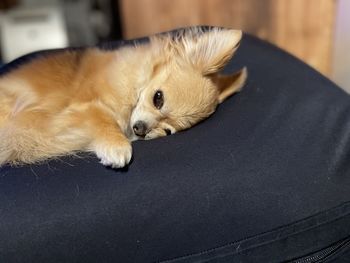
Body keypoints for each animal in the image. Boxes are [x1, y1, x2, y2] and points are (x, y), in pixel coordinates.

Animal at [0, 27, 246, 169]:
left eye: (168, 131)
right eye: (158, 98)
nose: (141, 130)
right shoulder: (84, 106)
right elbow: (103, 120)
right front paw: (117, 147)